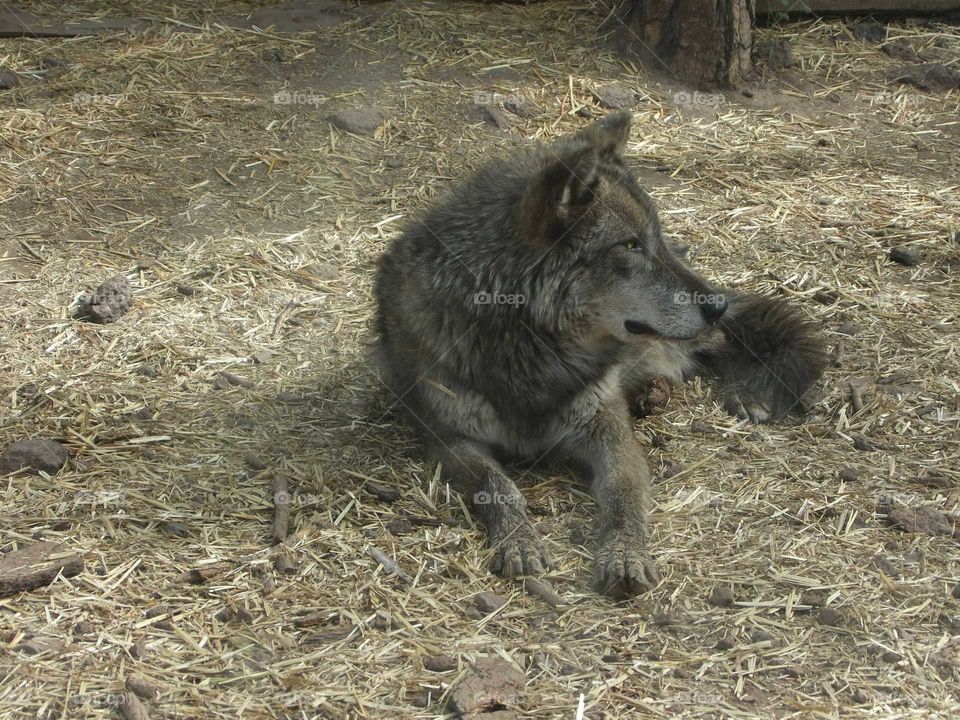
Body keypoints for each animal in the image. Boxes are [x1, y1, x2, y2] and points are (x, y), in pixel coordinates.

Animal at [374, 111, 826, 597]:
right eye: (630, 246)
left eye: (655, 238)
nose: (716, 304)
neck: (530, 347)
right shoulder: (450, 440)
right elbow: (496, 485)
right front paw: (519, 542)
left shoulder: (611, 433)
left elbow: (623, 496)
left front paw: (624, 554)